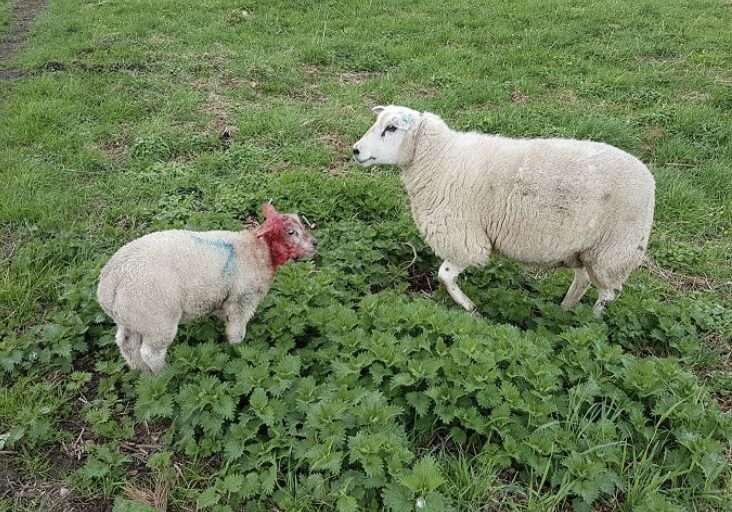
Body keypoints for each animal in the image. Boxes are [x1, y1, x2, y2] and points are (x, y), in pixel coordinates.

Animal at [97, 203, 317, 373]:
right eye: (291, 232)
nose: (315, 243)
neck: (258, 252)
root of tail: (110, 282)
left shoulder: (225, 299)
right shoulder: (242, 300)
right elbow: (236, 332)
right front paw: (237, 351)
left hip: (132, 318)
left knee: (127, 345)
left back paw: (141, 372)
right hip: (157, 319)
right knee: (151, 353)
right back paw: (164, 375)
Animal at [352, 105, 655, 317]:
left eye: (391, 128)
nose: (355, 150)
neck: (439, 158)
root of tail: (649, 179)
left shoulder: (465, 238)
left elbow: (445, 274)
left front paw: (470, 307)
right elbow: (444, 276)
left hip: (615, 250)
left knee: (608, 293)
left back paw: (592, 322)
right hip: (586, 248)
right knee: (583, 281)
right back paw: (565, 310)